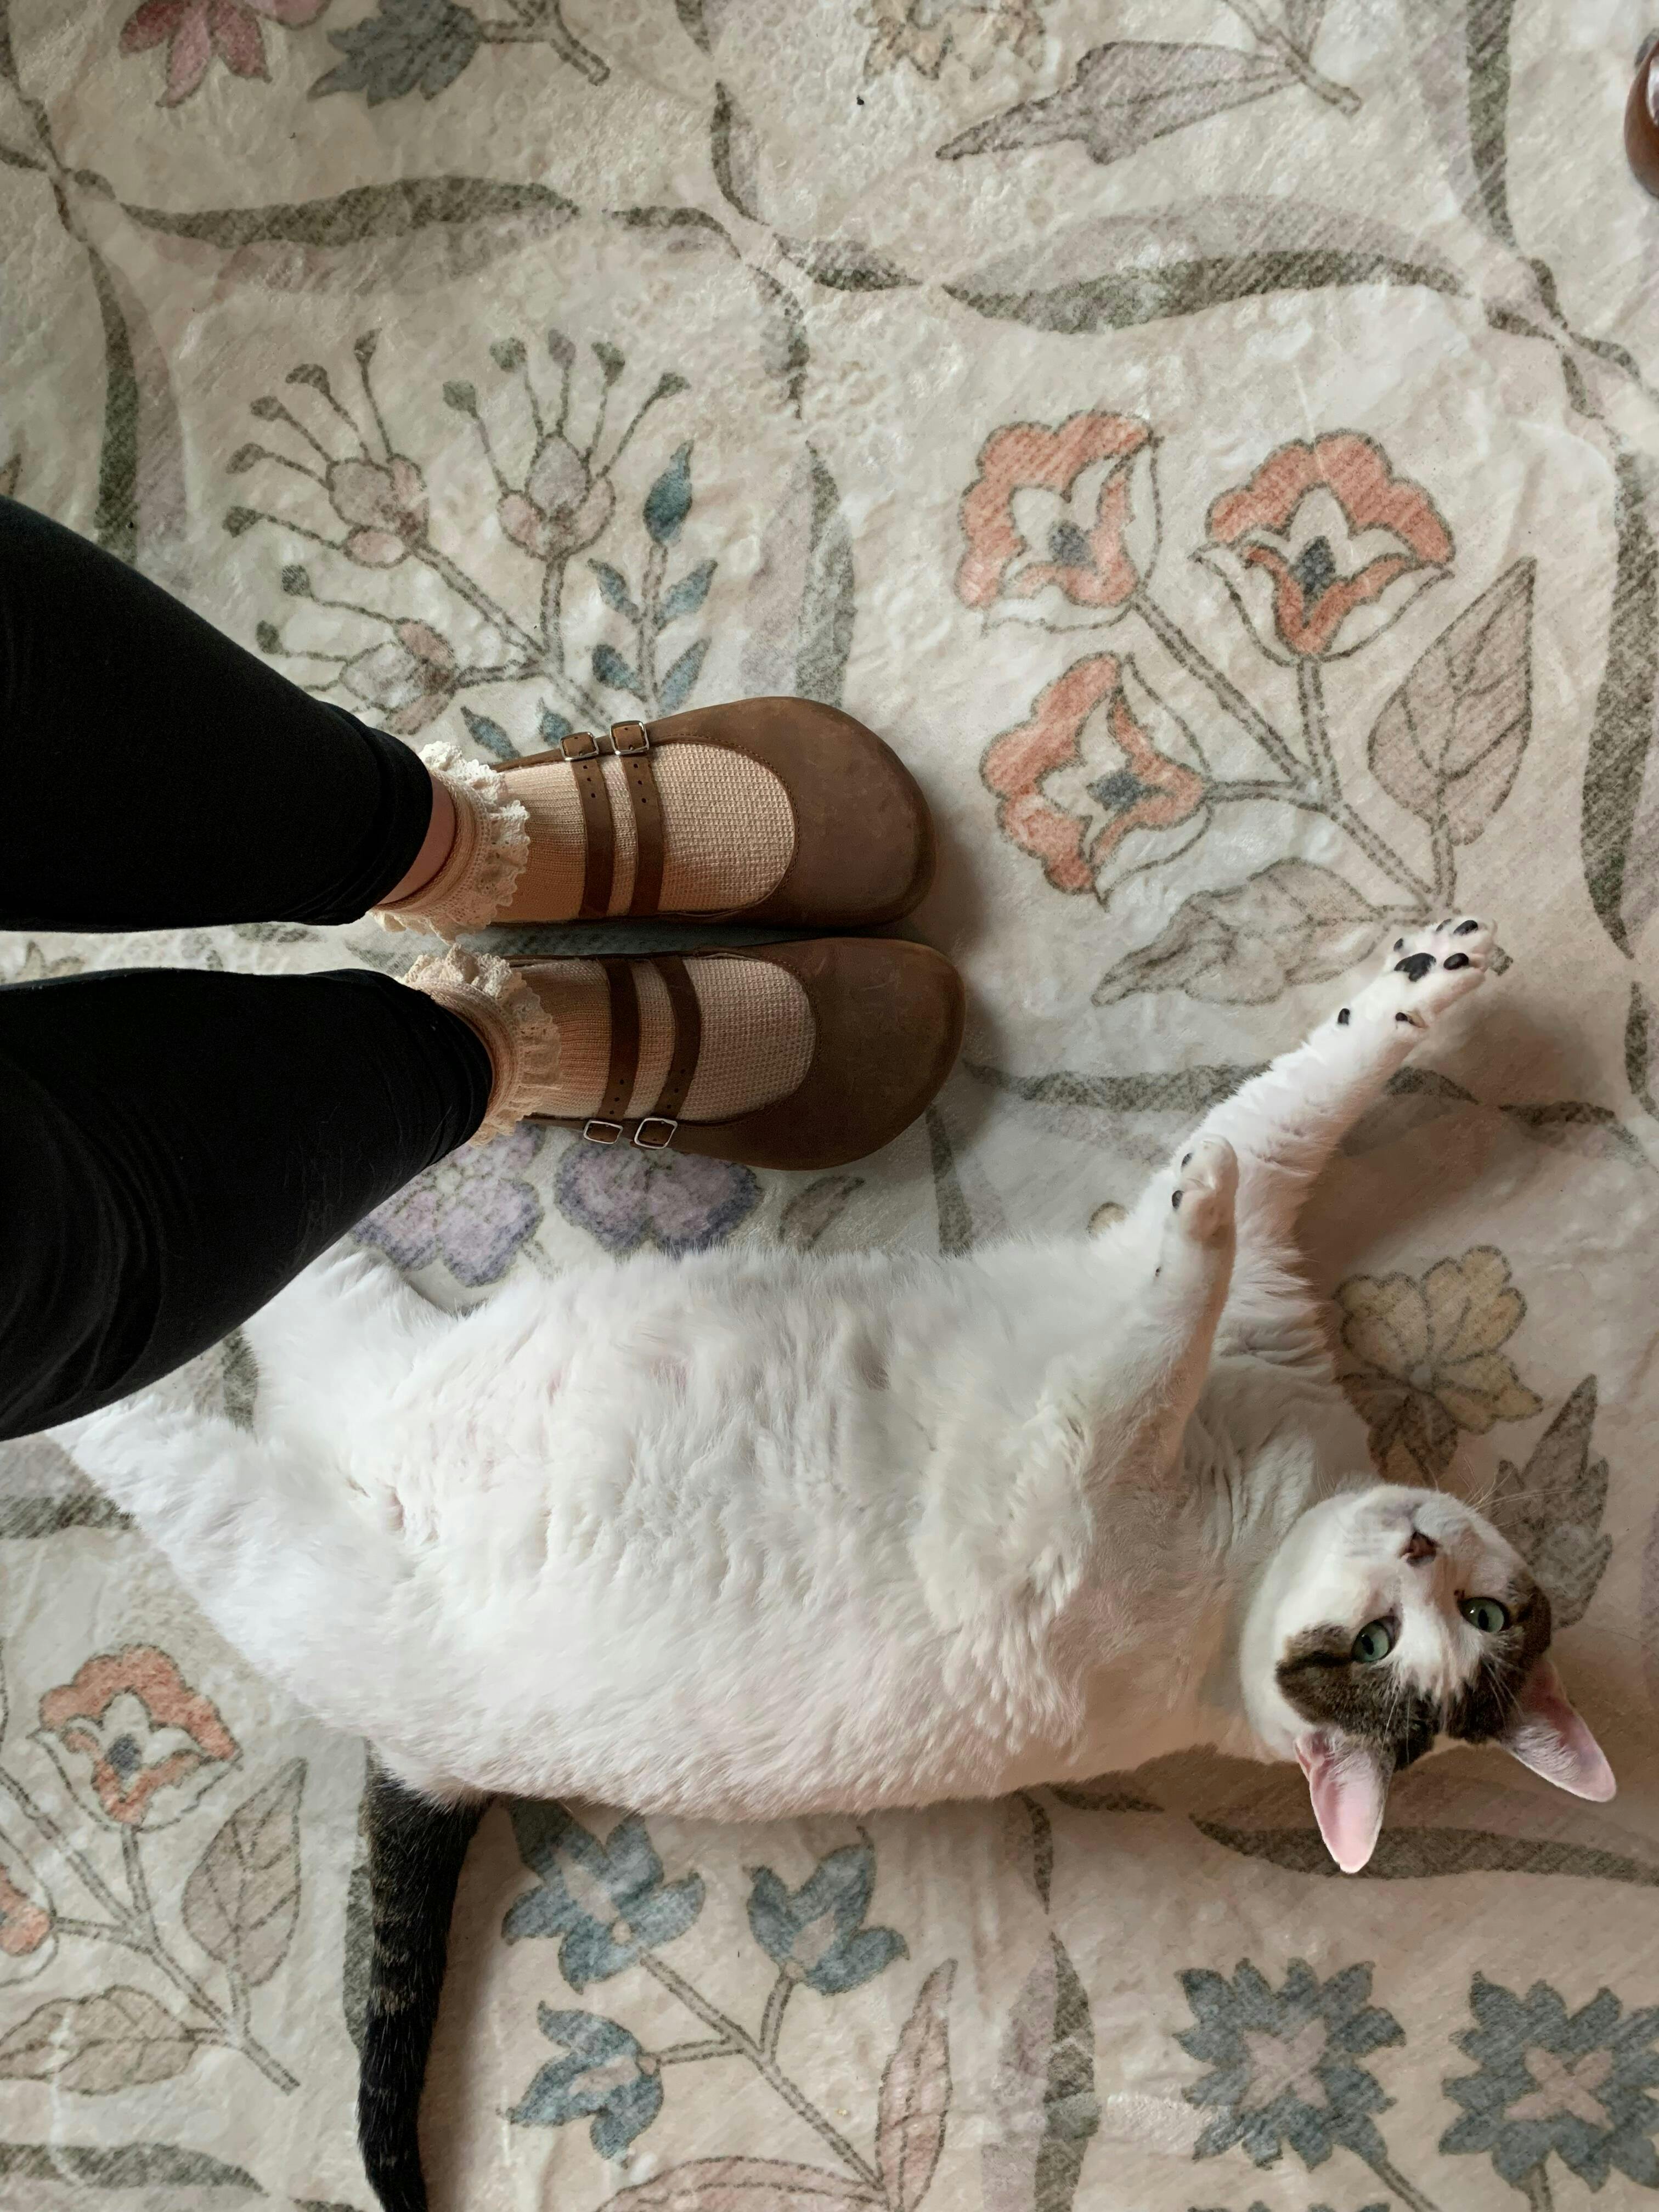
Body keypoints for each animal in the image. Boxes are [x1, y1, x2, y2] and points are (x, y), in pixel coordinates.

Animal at [59, 916, 1614, 2212]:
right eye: (1452, 1613)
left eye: (1422, 1641)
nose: (1416, 1543)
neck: (1272, 1510)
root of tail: (427, 1767)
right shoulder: (1255, 1309)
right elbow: (1294, 1119)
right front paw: (1422, 986)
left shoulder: (1078, 1466)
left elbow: (1165, 1314)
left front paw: (1198, 1207)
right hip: (358, 1329)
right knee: (283, 1261)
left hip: (272, 1528)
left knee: (166, 1411)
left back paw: (87, 1374)